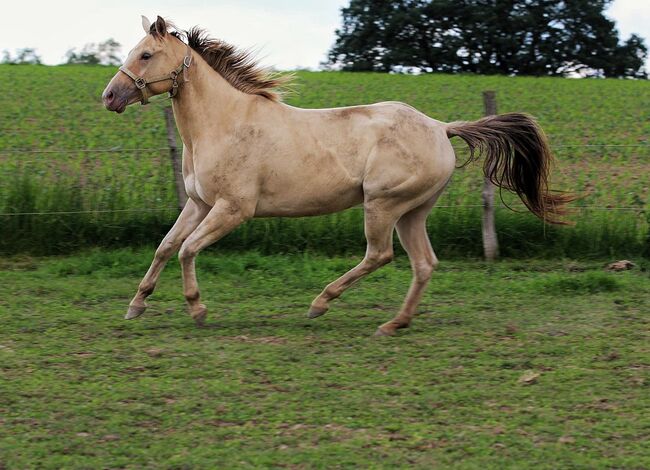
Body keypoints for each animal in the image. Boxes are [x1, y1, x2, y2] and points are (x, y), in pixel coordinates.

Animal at [98, 16, 568, 336]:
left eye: (145, 54)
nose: (109, 97)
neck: (223, 122)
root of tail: (441, 127)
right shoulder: (199, 204)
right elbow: (165, 246)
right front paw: (136, 305)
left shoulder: (233, 209)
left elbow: (187, 250)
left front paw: (197, 309)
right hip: (413, 212)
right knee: (424, 263)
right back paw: (394, 323)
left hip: (383, 205)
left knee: (380, 255)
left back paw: (321, 303)